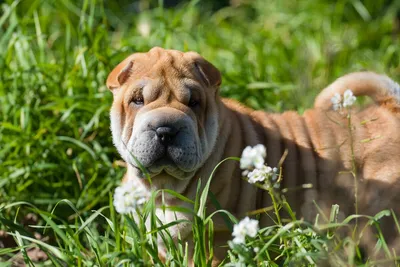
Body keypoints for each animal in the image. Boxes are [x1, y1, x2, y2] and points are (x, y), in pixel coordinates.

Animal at [106, 47, 400, 264]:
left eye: (194, 102)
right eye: (137, 100)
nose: (166, 130)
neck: (165, 187)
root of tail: (391, 109)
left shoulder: (218, 237)